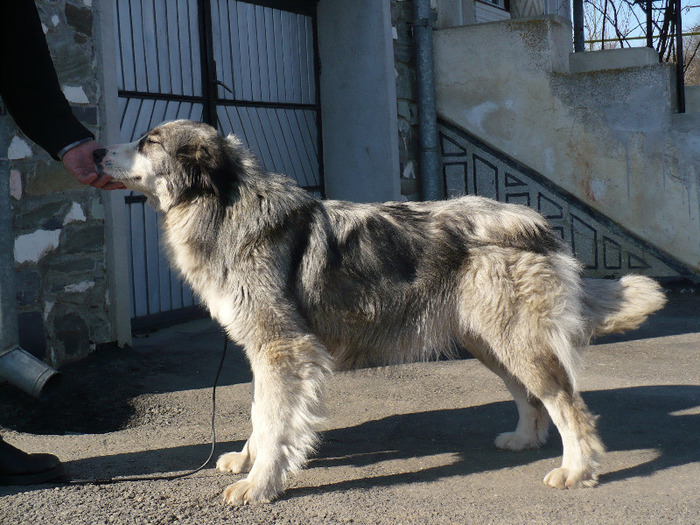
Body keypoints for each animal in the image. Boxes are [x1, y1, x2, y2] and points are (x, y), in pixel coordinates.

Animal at [94, 118, 668, 504]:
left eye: (147, 143)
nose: (96, 150)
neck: (224, 205)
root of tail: (537, 224)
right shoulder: (267, 352)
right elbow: (261, 413)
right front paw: (250, 460)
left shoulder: (285, 348)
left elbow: (276, 420)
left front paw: (260, 484)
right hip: (490, 342)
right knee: (532, 397)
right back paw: (525, 440)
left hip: (515, 340)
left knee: (568, 404)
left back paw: (577, 470)